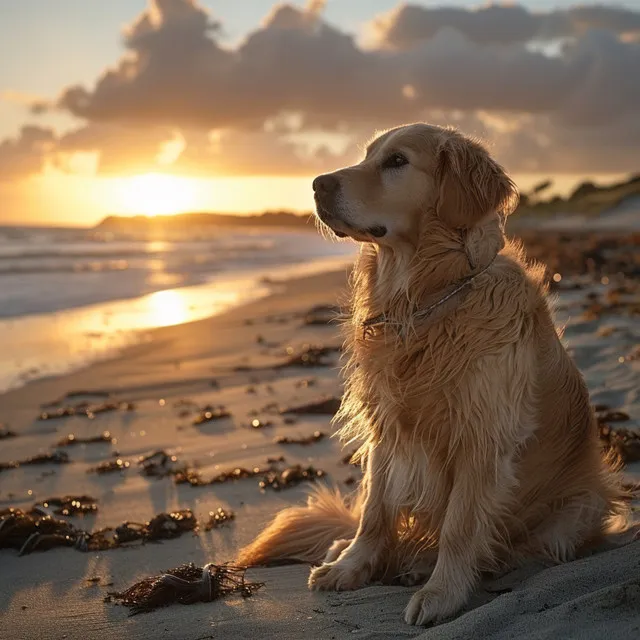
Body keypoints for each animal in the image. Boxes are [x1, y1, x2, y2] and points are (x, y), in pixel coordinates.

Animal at [238, 124, 628, 624]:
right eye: (367, 156)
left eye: (397, 161)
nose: (317, 184)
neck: (428, 299)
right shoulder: (386, 425)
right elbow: (374, 509)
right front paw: (352, 565)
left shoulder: (481, 435)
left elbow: (460, 527)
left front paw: (442, 593)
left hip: (576, 510)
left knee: (515, 544)